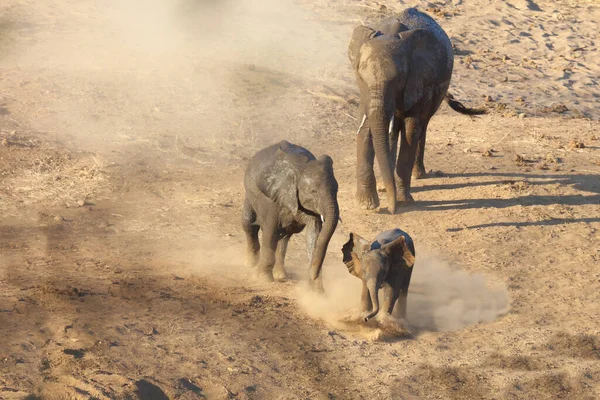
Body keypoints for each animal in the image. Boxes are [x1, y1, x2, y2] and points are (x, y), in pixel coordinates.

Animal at [243, 142, 338, 292]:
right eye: (313, 191)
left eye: (337, 190)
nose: (313, 276)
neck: (301, 168)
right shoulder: (273, 198)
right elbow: (270, 231)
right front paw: (263, 279)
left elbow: (314, 235)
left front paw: (316, 293)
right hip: (250, 193)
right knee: (248, 224)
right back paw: (250, 263)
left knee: (284, 237)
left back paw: (280, 275)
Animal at [350, 7, 486, 212]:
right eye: (360, 77)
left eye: (398, 79)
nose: (391, 209)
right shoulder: (365, 94)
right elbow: (365, 129)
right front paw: (367, 205)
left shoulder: (419, 80)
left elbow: (410, 129)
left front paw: (403, 201)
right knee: (392, 131)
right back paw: (384, 185)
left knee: (422, 126)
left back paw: (417, 175)